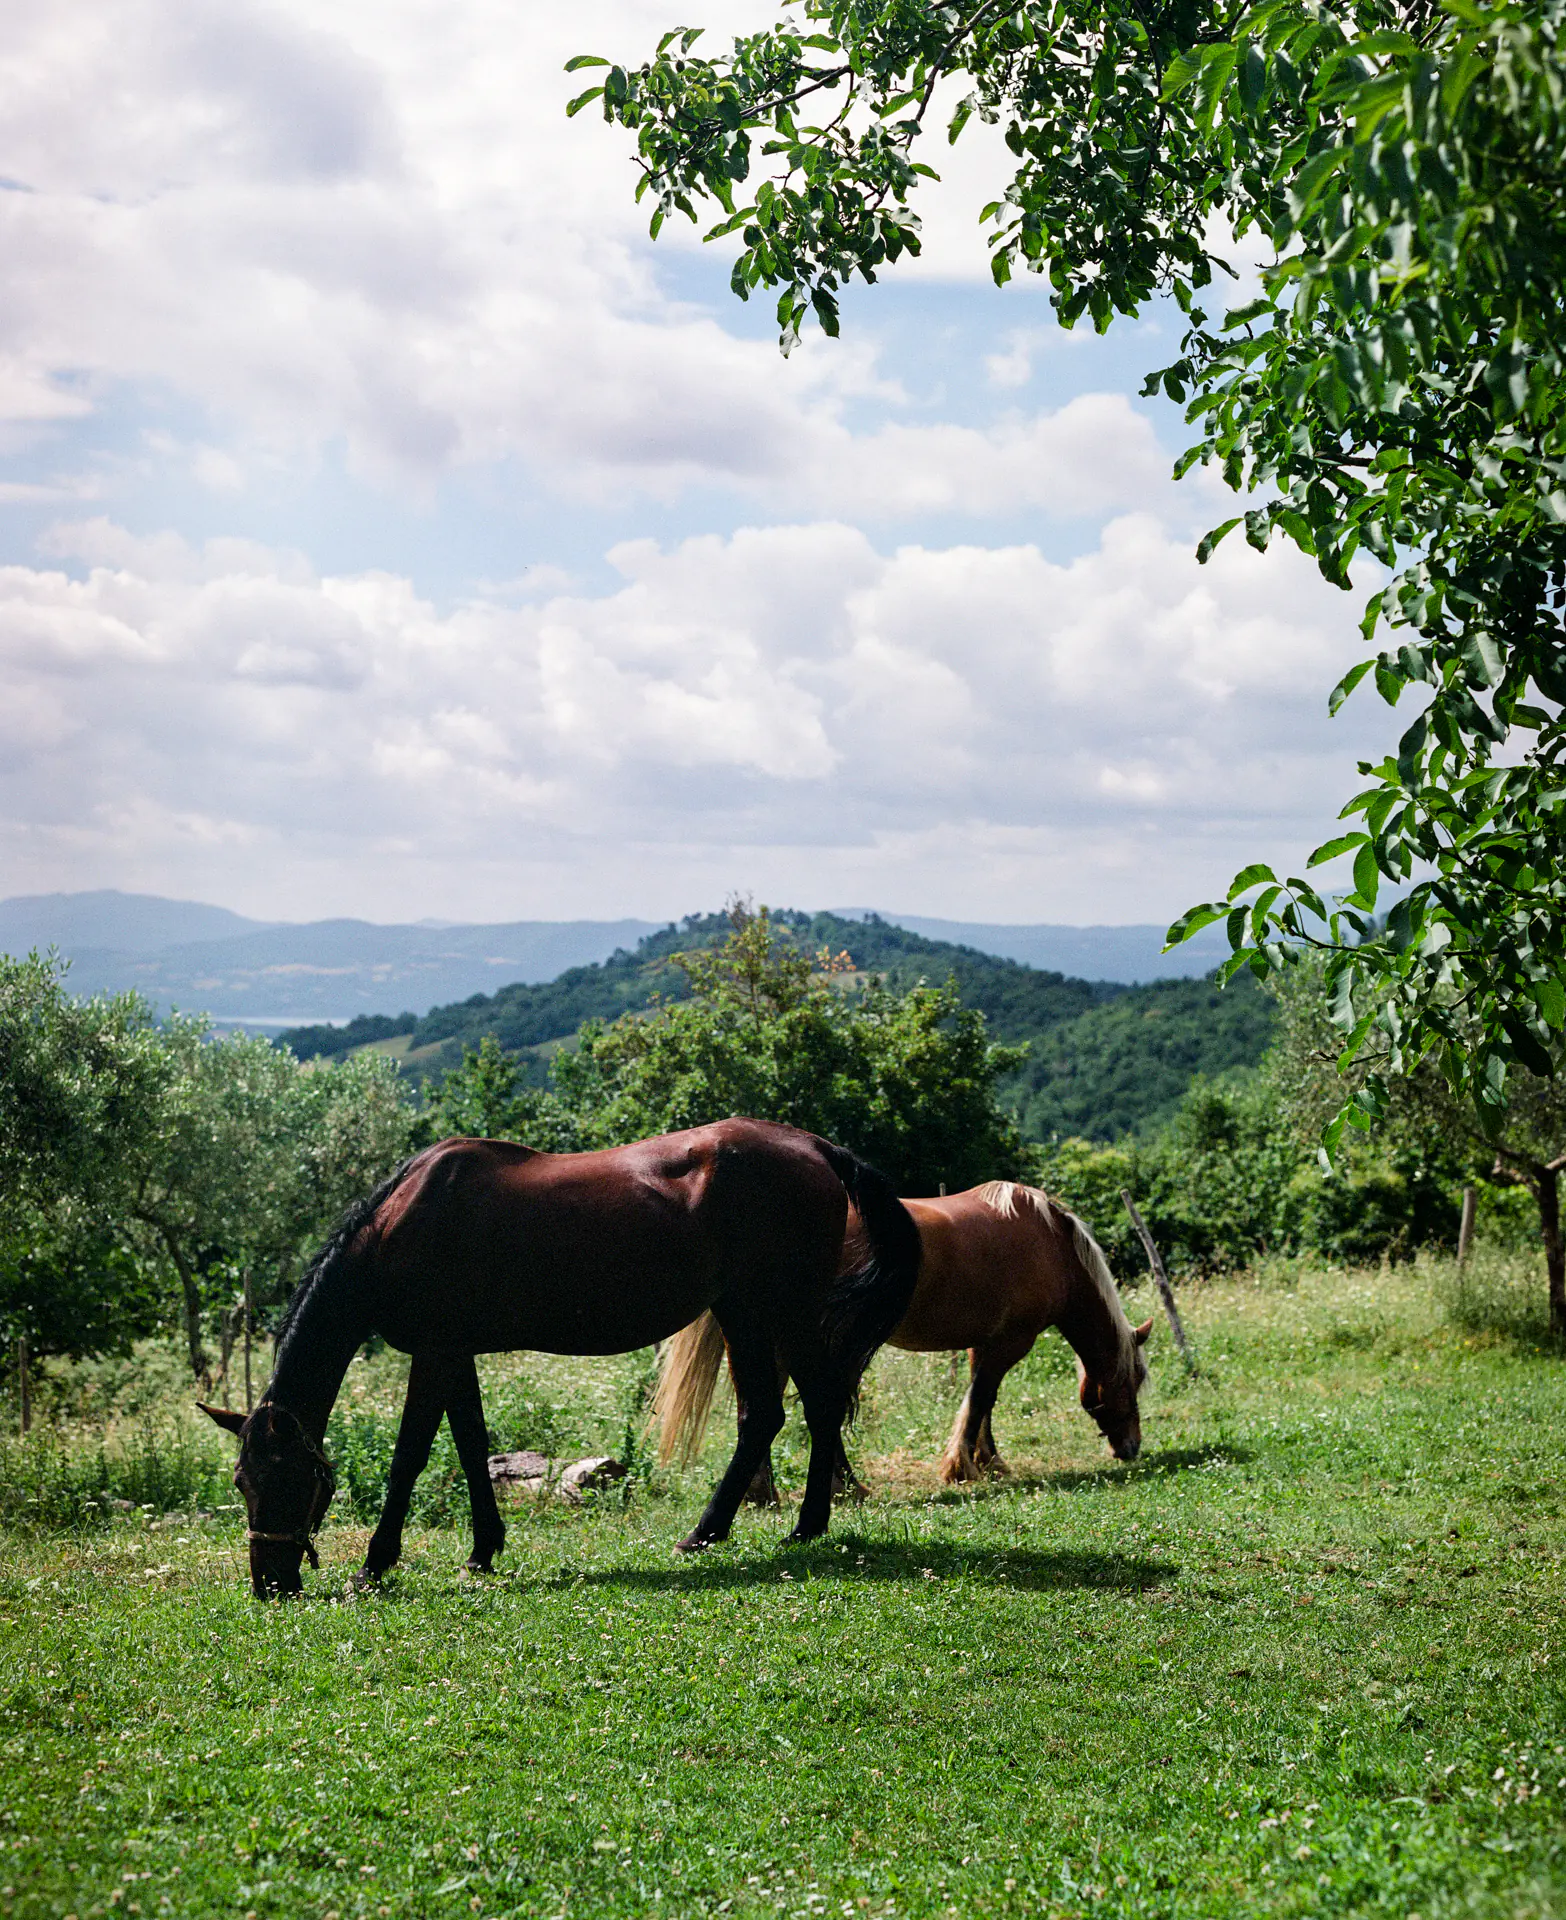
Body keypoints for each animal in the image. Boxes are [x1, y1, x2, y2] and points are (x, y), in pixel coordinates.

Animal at [197, 1118, 920, 1596]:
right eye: (240, 1483)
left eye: (288, 1479)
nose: (270, 1584)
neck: (401, 1225)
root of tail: (818, 1148)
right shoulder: (456, 1355)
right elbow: (471, 1445)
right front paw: (483, 1550)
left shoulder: (433, 1354)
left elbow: (411, 1457)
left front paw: (375, 1564)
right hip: (744, 1313)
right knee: (772, 1415)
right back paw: (742, 1529)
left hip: (777, 1310)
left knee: (809, 1408)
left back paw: (779, 1527)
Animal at [650, 1179, 1152, 1494]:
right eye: (1132, 1381)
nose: (1132, 1449)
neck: (1051, 1244)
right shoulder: (1012, 1341)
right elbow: (980, 1400)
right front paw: (962, 1468)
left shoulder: (988, 1341)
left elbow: (984, 1403)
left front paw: (989, 1460)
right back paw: (843, 1485)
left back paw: (766, 1490)